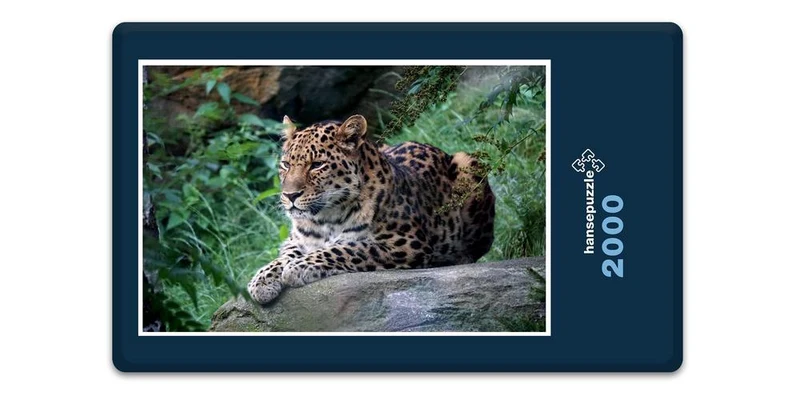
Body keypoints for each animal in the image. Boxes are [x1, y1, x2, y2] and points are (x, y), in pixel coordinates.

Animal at [248, 114, 495, 304]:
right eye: (286, 164)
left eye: (317, 165)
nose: (290, 196)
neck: (326, 218)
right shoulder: (296, 240)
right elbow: (282, 257)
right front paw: (261, 281)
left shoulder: (405, 243)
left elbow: (348, 248)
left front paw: (298, 267)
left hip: (468, 163)